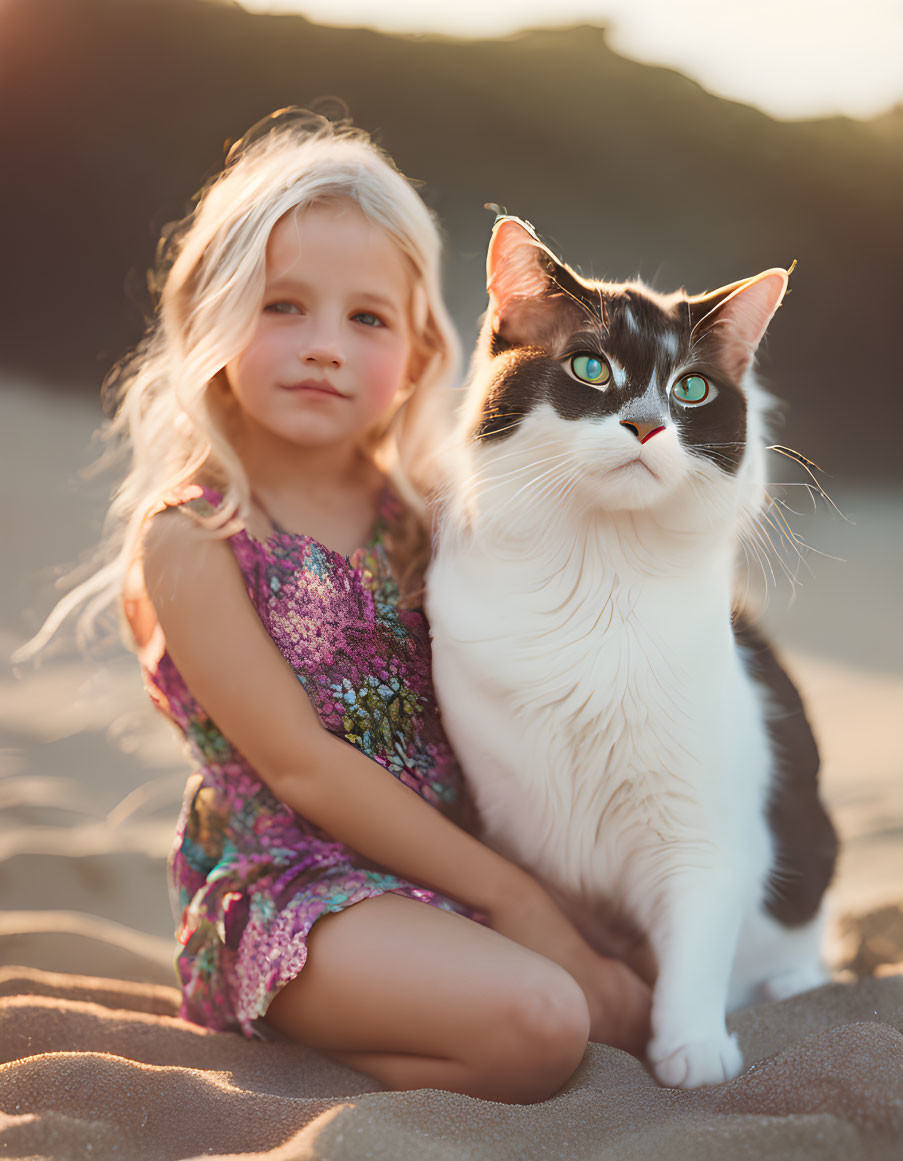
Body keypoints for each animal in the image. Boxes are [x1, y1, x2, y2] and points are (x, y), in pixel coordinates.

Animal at [424, 215, 835, 1086]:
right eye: (590, 367)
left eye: (691, 389)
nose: (646, 424)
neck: (598, 576)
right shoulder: (515, 824)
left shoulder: (704, 835)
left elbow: (694, 948)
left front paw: (692, 1051)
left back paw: (788, 985)